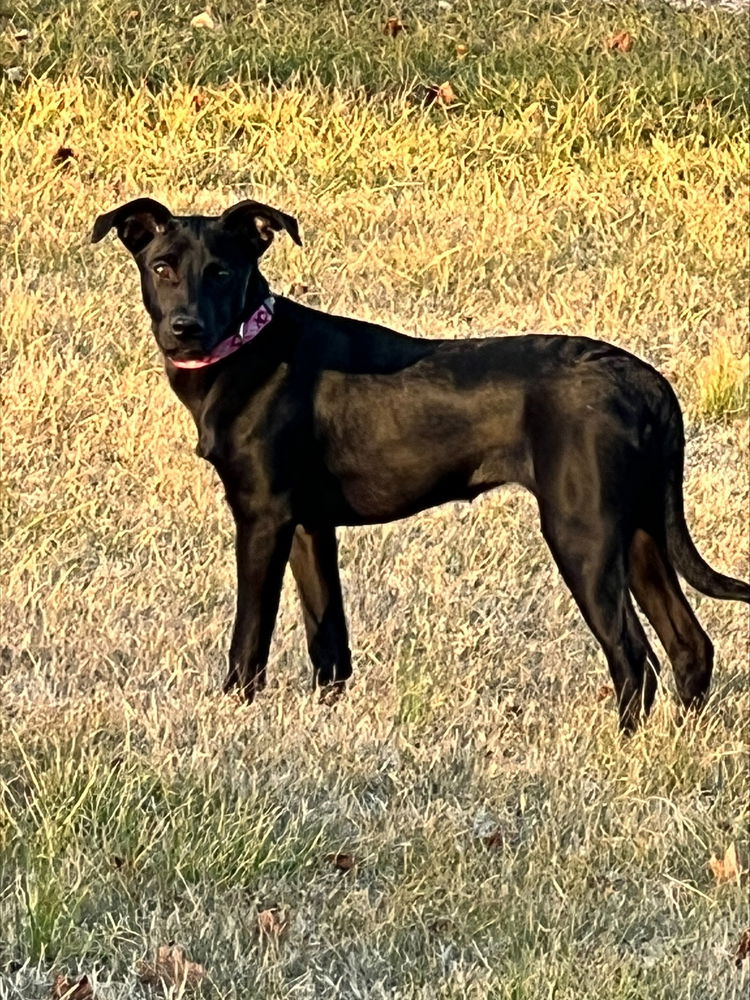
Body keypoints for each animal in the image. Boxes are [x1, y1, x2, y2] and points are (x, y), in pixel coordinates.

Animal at [91, 197, 748, 728]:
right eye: (162, 266)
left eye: (222, 272)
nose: (186, 329)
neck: (249, 346)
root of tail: (645, 381)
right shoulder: (308, 526)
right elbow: (328, 637)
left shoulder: (262, 518)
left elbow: (250, 633)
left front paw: (236, 711)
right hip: (637, 529)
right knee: (690, 645)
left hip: (581, 531)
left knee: (634, 656)